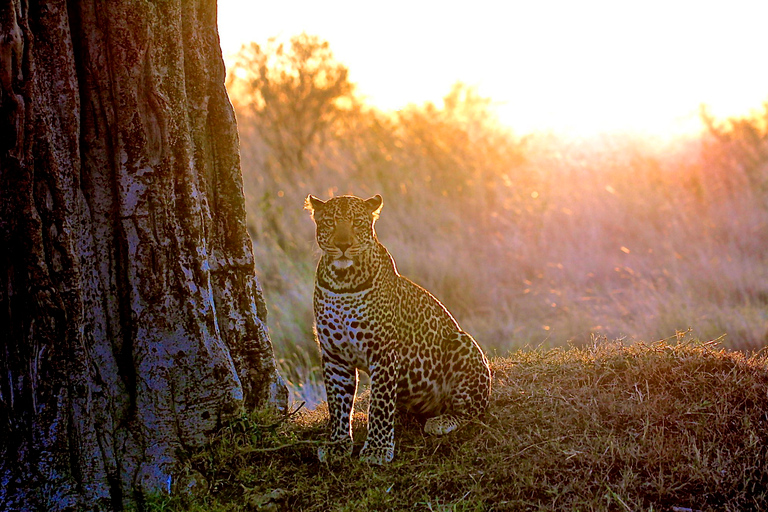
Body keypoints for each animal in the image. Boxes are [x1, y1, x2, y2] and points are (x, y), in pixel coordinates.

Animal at [304, 192, 488, 464]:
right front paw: (337, 444)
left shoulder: (383, 352)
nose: (343, 244)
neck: (343, 282)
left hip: (462, 344)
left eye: (357, 222)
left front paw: (377, 450)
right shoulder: (334, 355)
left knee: (473, 410)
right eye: (330, 222)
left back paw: (442, 421)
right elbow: (337, 403)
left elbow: (379, 403)